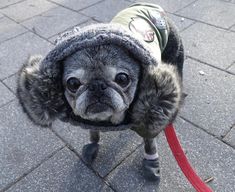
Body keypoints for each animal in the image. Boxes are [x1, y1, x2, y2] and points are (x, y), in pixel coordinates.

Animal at [17, 2, 185, 183]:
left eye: (122, 79)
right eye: (73, 83)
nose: (97, 86)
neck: (107, 120)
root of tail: (151, 6)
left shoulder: (147, 120)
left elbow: (149, 142)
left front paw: (151, 162)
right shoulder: (91, 122)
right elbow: (94, 133)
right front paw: (93, 145)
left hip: (174, 53)